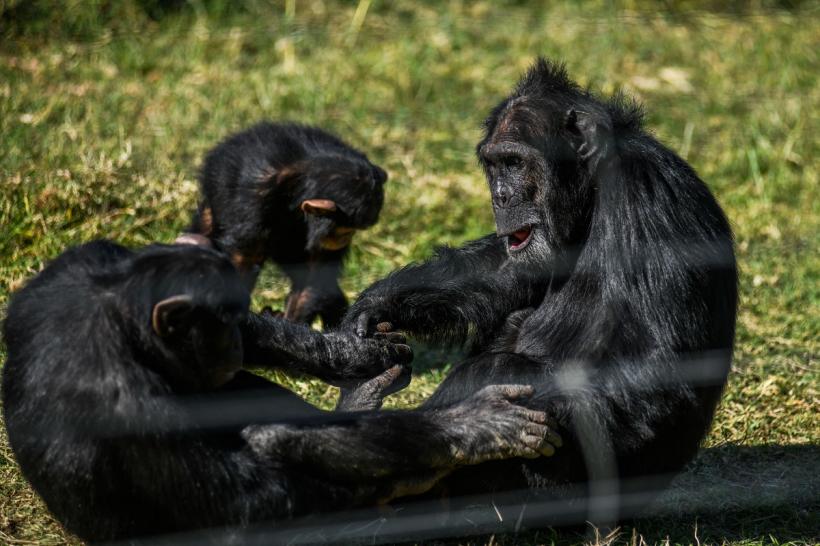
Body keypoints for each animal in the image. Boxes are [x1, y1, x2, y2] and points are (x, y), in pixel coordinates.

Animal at [0, 239, 560, 540]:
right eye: (218, 323)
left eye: (231, 317)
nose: (228, 340)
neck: (120, 320)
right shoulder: (126, 405)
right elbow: (244, 501)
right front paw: (473, 426)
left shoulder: (84, 261)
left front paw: (353, 351)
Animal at [182, 122, 390, 328]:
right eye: (344, 230)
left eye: (351, 231)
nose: (345, 238)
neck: (302, 180)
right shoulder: (251, 194)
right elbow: (244, 260)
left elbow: (313, 275)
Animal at [342, 59, 740, 528]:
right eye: (495, 164)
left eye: (516, 162)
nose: (500, 195)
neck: (591, 195)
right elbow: (507, 270)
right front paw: (377, 305)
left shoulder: (652, 203)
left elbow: (658, 363)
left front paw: (485, 417)